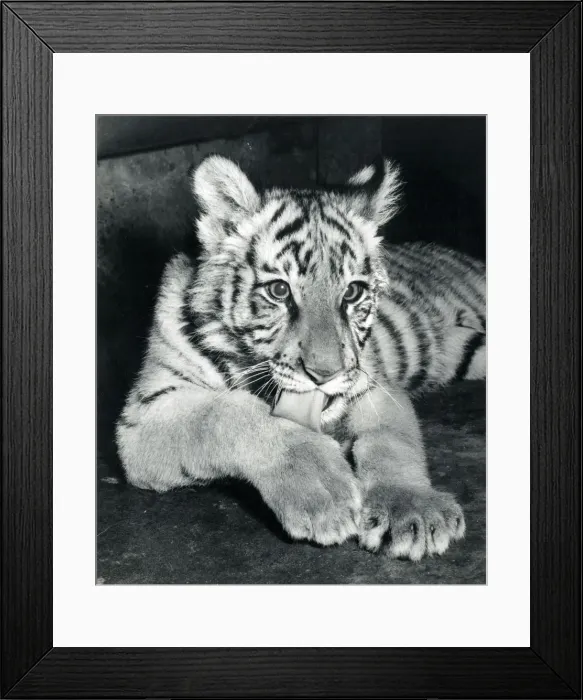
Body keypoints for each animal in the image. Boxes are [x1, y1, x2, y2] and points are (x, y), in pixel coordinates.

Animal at [116, 155, 485, 561]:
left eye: (352, 292)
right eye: (279, 290)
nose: (325, 373)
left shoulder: (375, 387)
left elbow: (391, 441)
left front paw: (413, 509)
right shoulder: (146, 415)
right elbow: (230, 415)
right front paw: (324, 492)